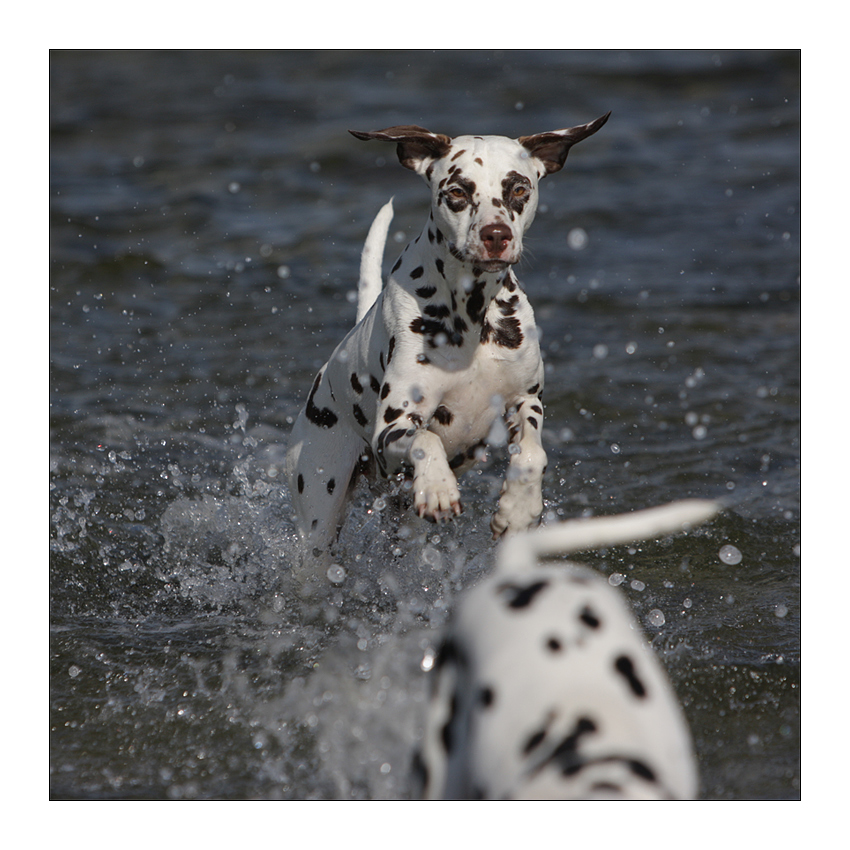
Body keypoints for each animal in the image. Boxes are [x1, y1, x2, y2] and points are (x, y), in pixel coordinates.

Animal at [284, 112, 608, 564]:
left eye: (518, 188)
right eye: (457, 192)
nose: (496, 235)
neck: (474, 316)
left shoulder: (525, 400)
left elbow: (532, 450)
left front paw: (518, 510)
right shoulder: (393, 428)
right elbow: (424, 438)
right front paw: (437, 485)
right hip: (320, 516)